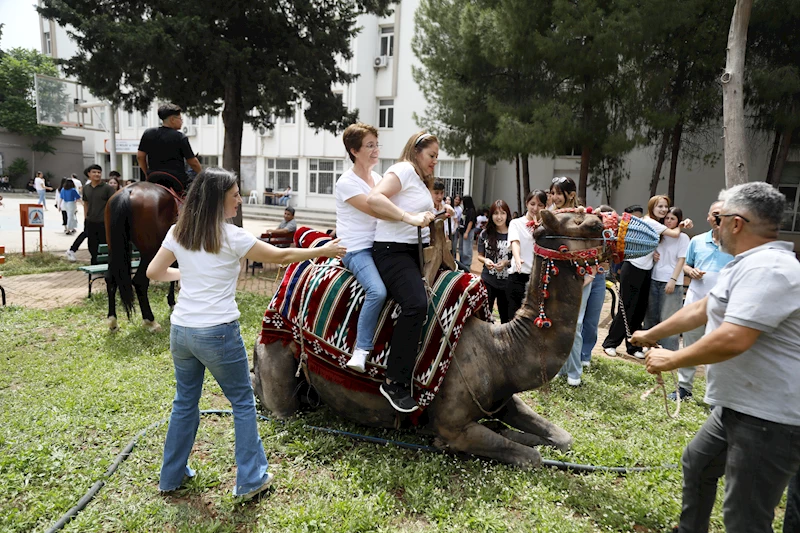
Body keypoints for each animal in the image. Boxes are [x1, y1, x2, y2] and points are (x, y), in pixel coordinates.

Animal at [104, 182, 178, 332]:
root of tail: (128, 191)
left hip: (113, 250)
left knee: (110, 280)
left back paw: (113, 321)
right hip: (151, 253)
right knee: (140, 281)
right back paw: (150, 321)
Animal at [255, 208, 612, 466]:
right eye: (582, 222)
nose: (605, 219)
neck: (500, 351)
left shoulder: (502, 399)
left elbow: (561, 438)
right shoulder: (454, 427)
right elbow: (532, 457)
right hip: (276, 361)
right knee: (281, 407)